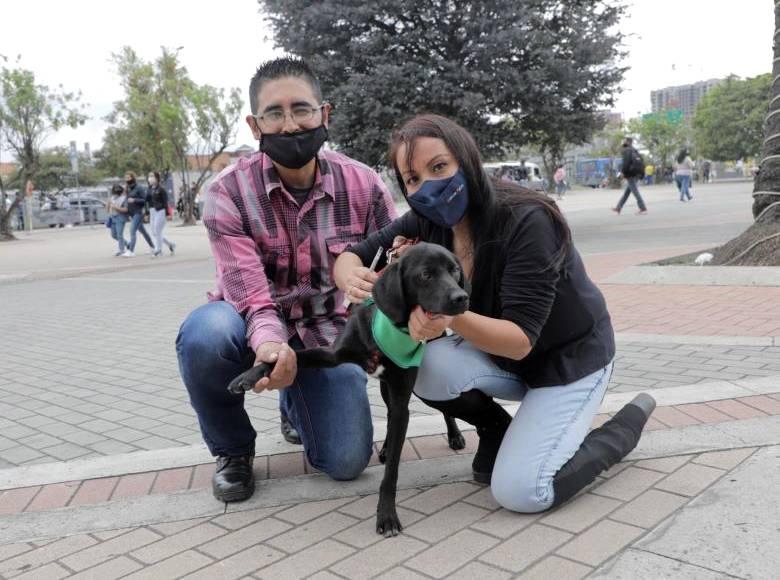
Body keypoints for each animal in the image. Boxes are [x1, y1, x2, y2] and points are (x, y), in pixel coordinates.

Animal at [225, 240, 470, 536]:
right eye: (425, 274)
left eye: (454, 270)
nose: (462, 297)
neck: (390, 329)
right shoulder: (331, 356)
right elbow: (287, 357)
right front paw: (247, 376)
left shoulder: (402, 395)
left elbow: (392, 471)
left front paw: (386, 515)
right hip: (386, 389)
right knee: (391, 416)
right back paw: (386, 447)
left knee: (436, 410)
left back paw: (454, 436)